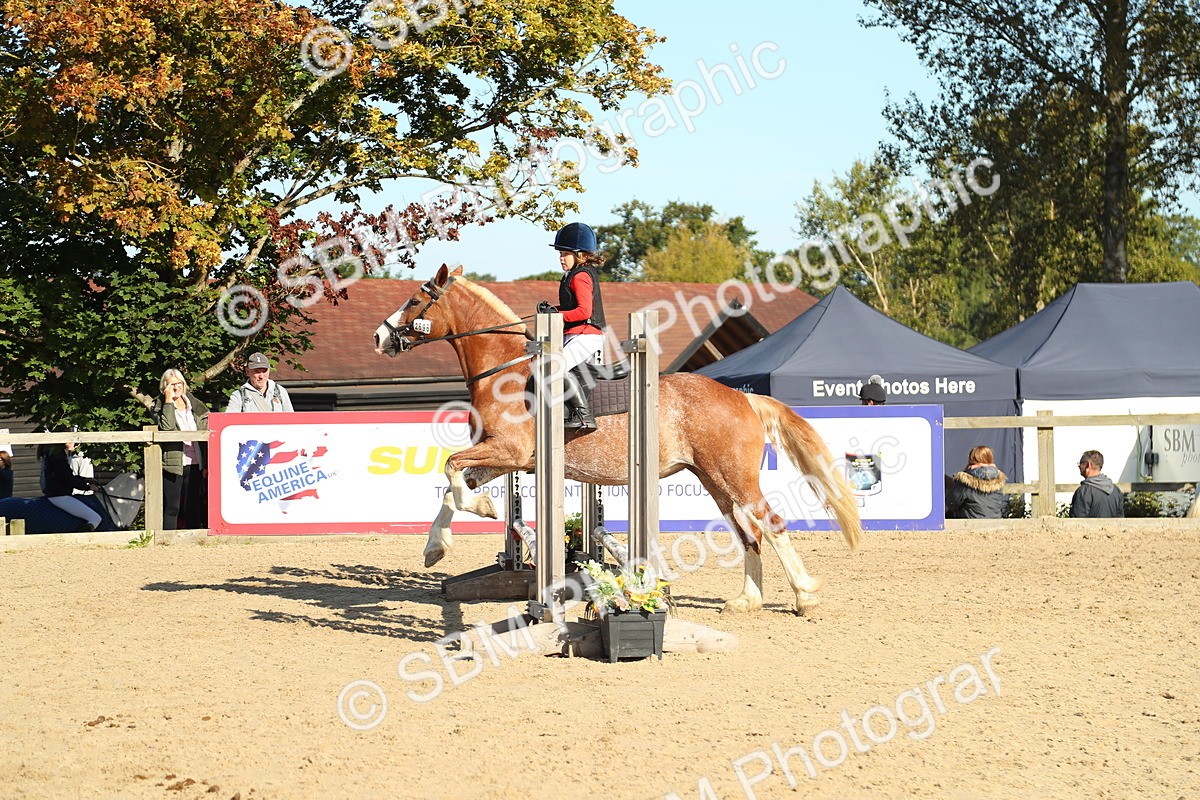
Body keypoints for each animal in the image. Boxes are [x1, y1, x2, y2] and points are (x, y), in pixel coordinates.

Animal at [373, 265, 862, 614]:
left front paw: (477, 516)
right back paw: (747, 601)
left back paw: (805, 596)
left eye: (415, 299)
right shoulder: (504, 458)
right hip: (714, 480)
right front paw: (439, 545)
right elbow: (454, 486)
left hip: (734, 476)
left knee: (770, 524)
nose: (379, 337)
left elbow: (451, 468)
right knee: (749, 533)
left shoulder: (510, 451)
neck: (507, 369)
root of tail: (742, 397)